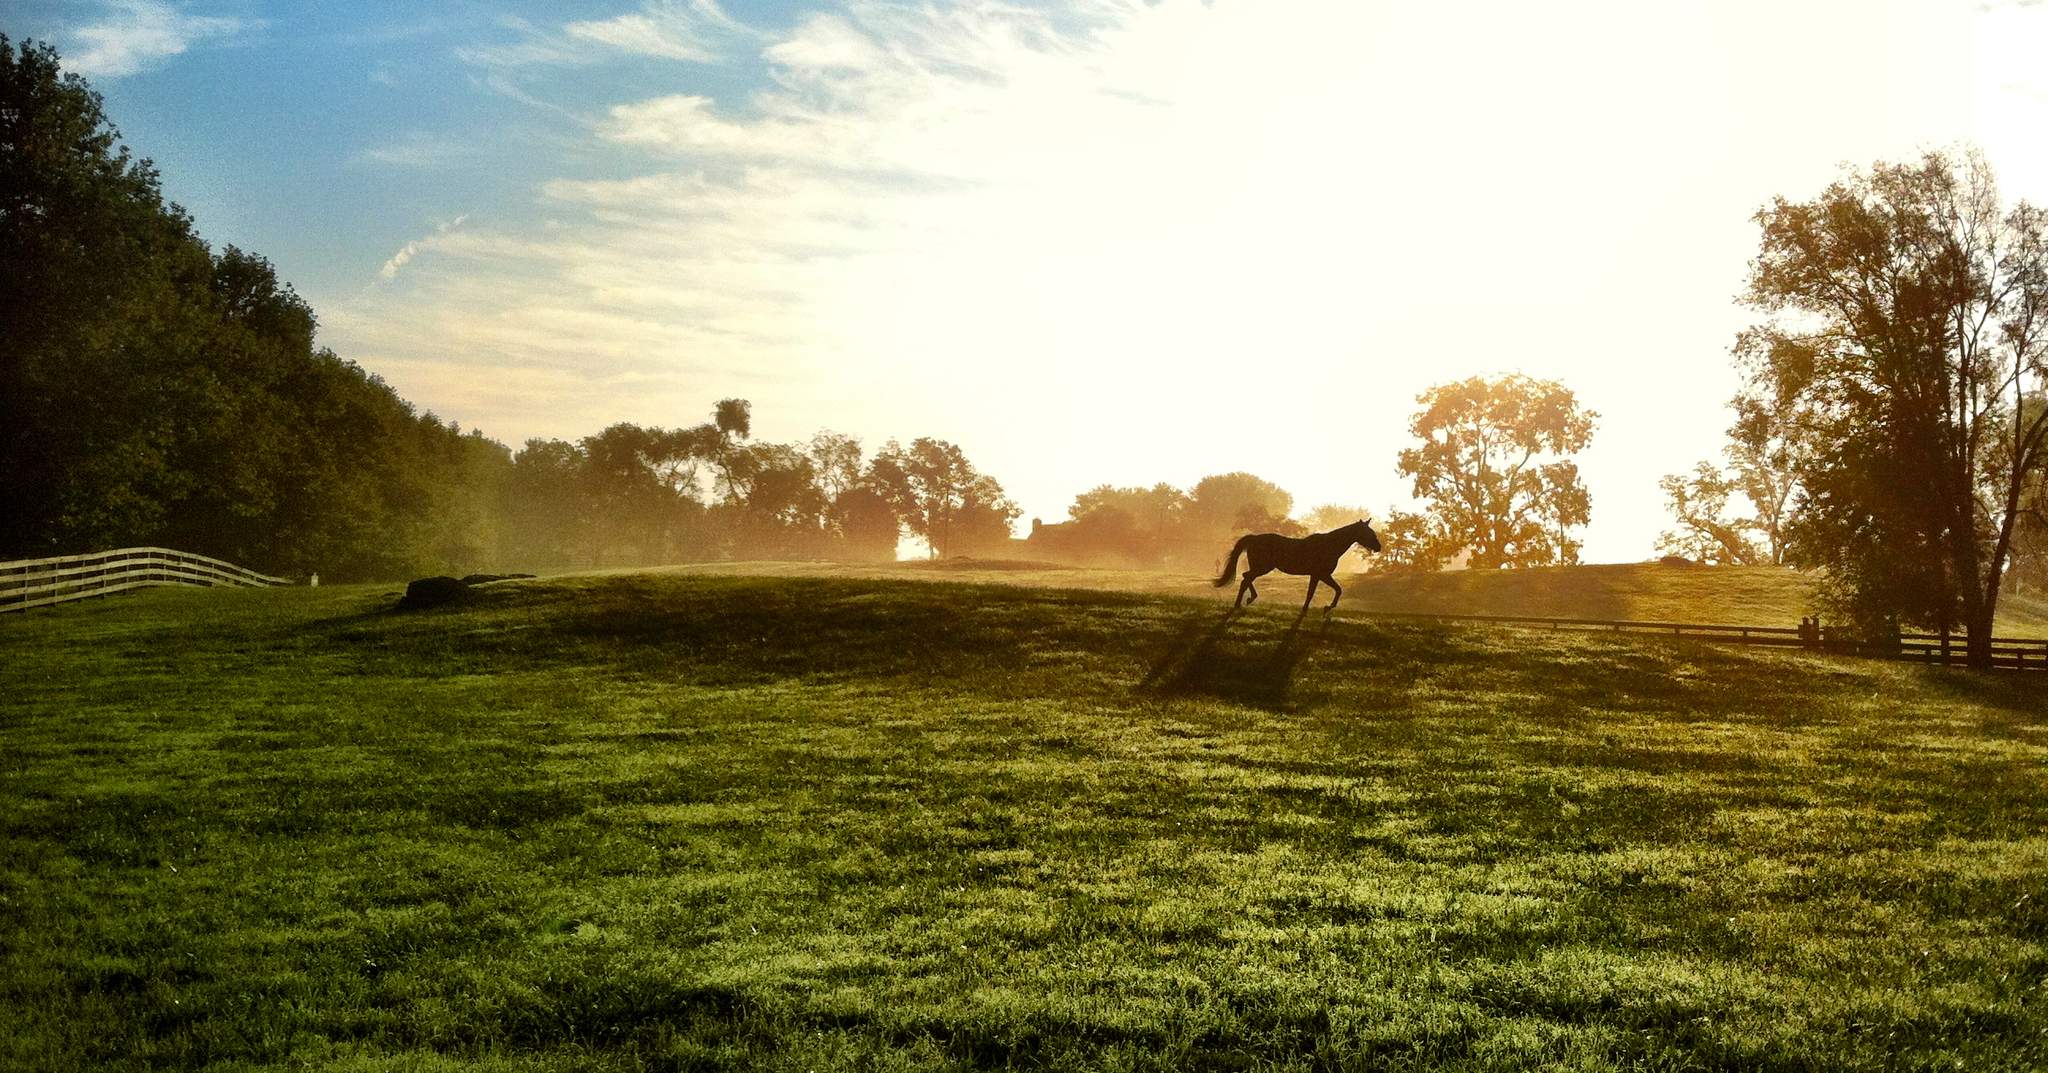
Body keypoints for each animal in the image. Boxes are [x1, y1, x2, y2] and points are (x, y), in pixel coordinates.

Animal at [1204, 518, 1384, 610]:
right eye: (1368, 532)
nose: (1378, 547)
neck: (1329, 545)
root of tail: (1254, 538)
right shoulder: (1321, 574)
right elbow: (1319, 592)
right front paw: (1323, 607)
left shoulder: (1320, 575)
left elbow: (1333, 590)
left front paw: (1324, 607)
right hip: (1262, 568)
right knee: (1245, 578)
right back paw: (1240, 603)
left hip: (1260, 568)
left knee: (1245, 578)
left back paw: (1248, 599)